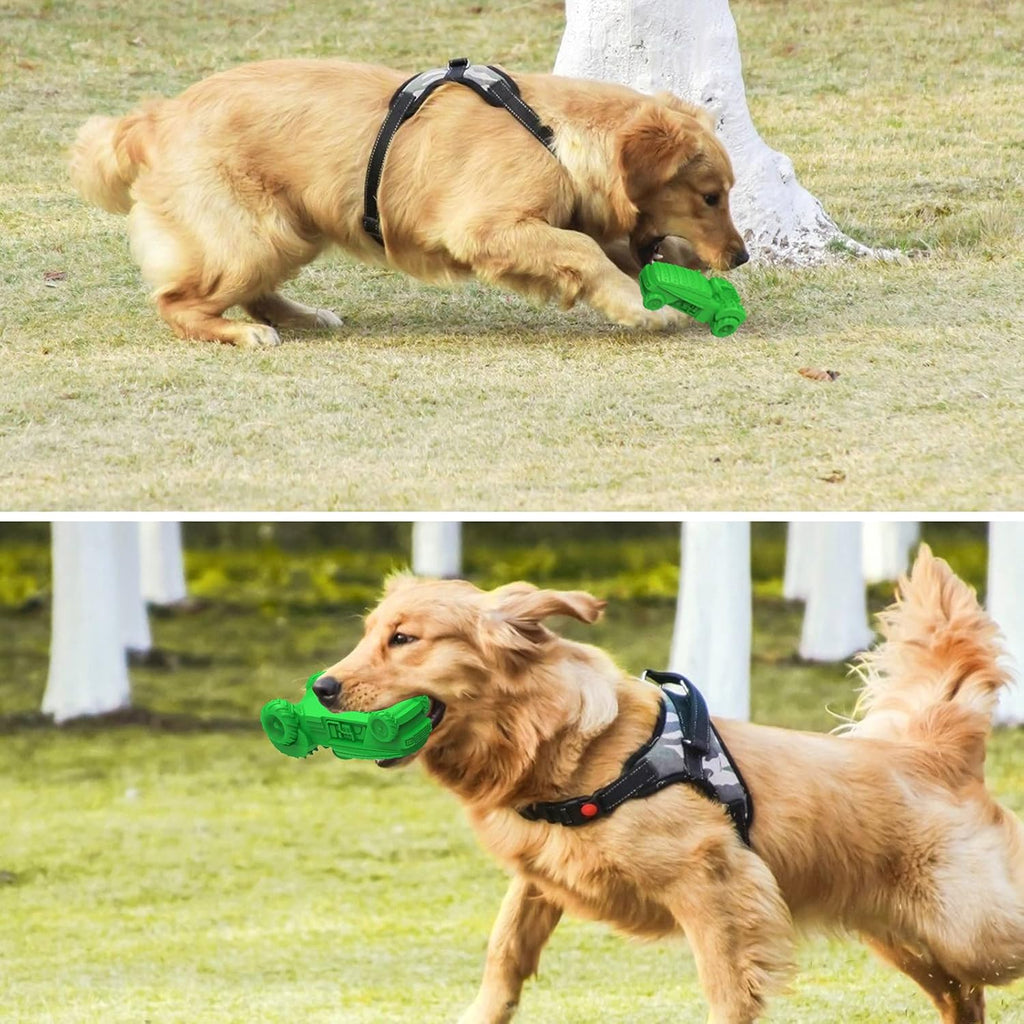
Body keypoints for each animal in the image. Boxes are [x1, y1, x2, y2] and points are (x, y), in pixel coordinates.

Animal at [70, 60, 745, 348]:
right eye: (710, 196)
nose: (740, 258)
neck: (551, 134)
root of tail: (155, 116)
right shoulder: (487, 228)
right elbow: (582, 250)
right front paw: (643, 308)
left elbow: (616, 245)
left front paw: (682, 266)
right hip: (252, 235)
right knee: (178, 302)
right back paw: (240, 333)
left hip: (289, 230)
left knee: (255, 292)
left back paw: (301, 317)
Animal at [313, 552, 1024, 1024]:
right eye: (369, 634)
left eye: (404, 639)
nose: (321, 686)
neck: (573, 748)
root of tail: (931, 749)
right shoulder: (541, 873)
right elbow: (504, 954)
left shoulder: (714, 882)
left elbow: (726, 989)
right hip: (909, 939)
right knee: (964, 995)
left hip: (970, 929)